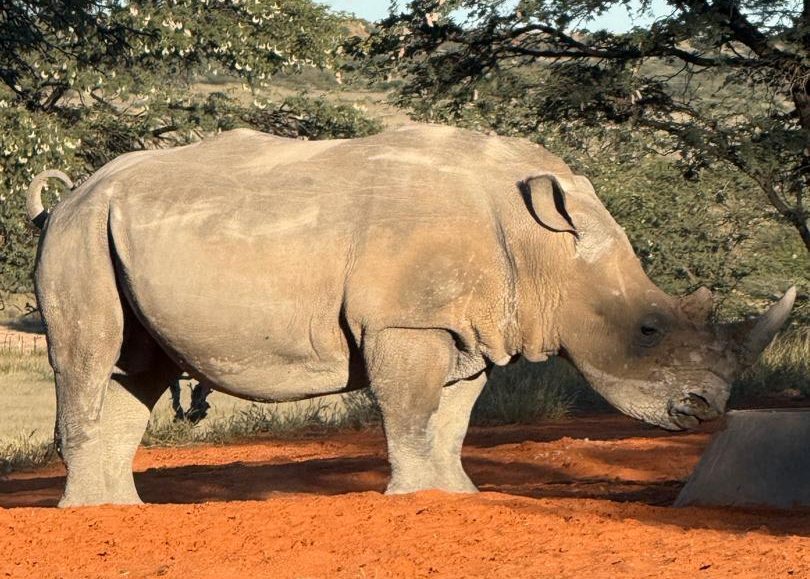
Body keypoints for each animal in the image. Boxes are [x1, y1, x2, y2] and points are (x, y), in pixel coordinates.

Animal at [27, 124, 795, 507]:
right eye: (648, 330)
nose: (705, 408)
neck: (545, 247)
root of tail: (66, 196)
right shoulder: (405, 320)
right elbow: (412, 409)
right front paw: (412, 497)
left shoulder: (468, 328)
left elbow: (450, 418)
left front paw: (458, 495)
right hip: (79, 232)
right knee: (89, 355)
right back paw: (89, 516)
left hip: (118, 230)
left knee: (138, 367)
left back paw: (119, 511)